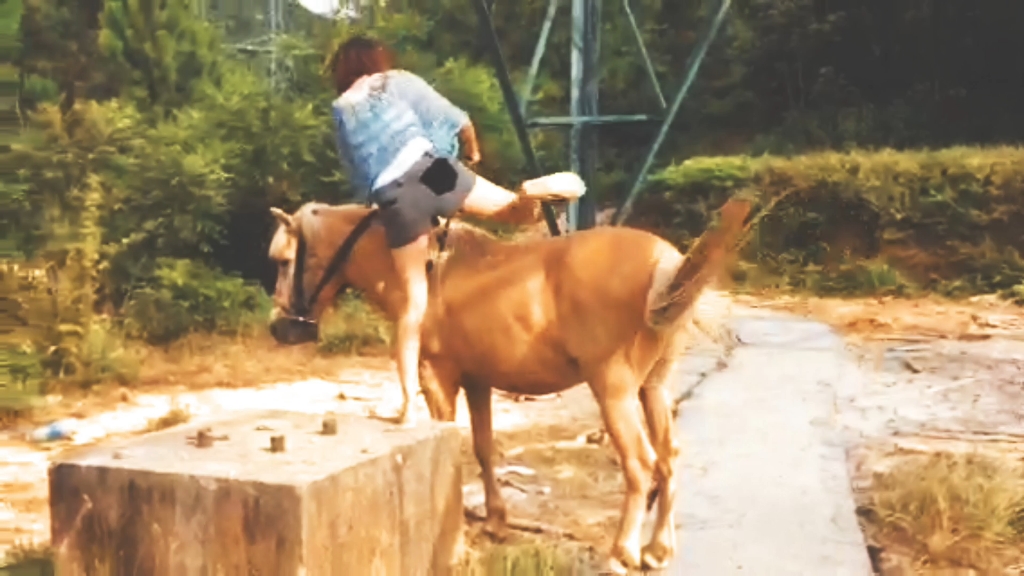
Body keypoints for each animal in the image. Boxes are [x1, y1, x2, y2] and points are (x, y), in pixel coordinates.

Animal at [266, 196, 753, 569]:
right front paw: (496, 520)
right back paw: (657, 549)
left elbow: (450, 444)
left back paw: (623, 552)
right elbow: (483, 447)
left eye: (285, 260)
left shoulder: (438, 376)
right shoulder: (478, 382)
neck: (429, 271)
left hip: (613, 389)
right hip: (653, 388)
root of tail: (665, 263)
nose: (279, 328)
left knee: (640, 463)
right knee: (669, 458)